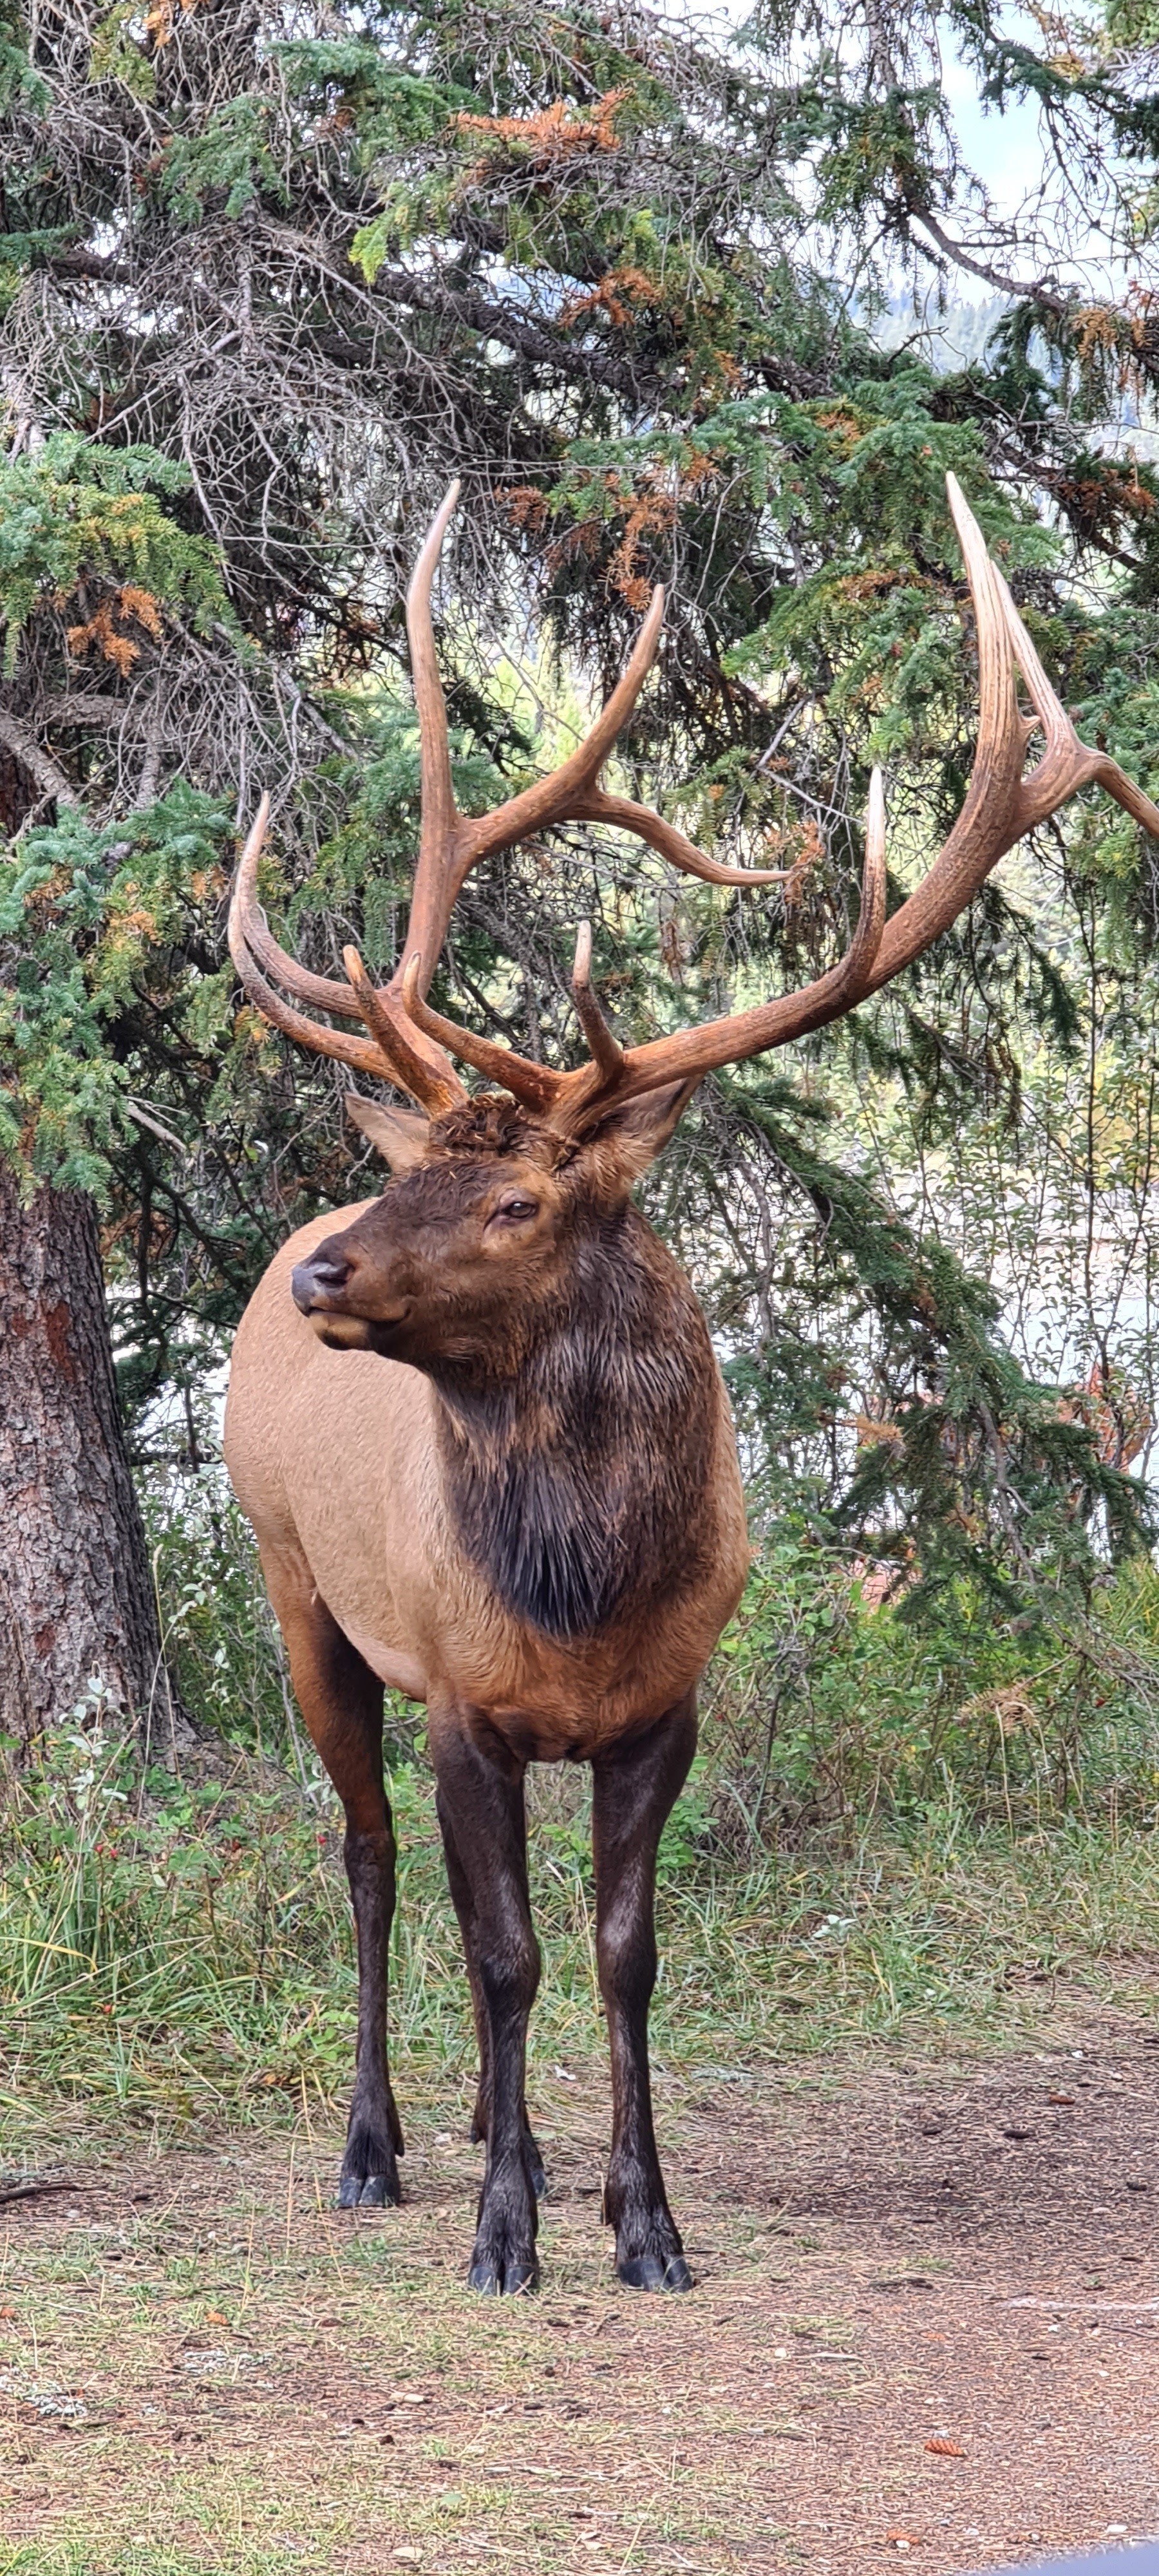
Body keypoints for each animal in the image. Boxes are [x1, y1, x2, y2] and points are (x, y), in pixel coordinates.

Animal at [223, 474, 1159, 2295]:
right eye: (421, 1172)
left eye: (517, 1202)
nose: (323, 1275)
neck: (586, 1589)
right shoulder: (462, 1699)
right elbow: (506, 1949)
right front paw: (511, 2231)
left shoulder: (666, 1703)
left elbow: (620, 1951)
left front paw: (641, 2215)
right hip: (298, 1588)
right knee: (367, 1863)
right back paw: (378, 2147)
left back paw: (474, 2125)